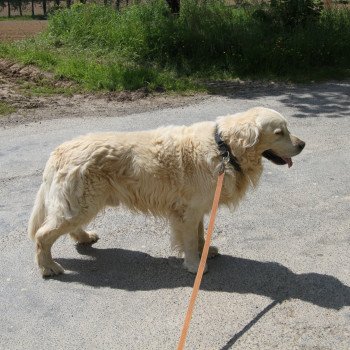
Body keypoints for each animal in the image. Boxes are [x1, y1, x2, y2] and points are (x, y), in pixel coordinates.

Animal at [28, 106, 304, 276]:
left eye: (288, 129)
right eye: (279, 132)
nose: (302, 144)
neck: (224, 148)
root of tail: (59, 151)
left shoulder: (197, 208)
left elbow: (200, 234)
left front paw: (205, 252)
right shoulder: (188, 212)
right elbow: (190, 240)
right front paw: (194, 265)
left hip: (81, 204)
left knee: (69, 227)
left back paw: (84, 237)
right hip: (82, 203)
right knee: (42, 235)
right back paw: (48, 267)